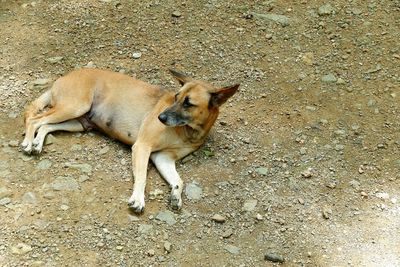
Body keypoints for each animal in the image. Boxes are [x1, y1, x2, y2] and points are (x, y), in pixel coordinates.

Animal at [21, 69, 239, 214]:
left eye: (188, 103)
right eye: (176, 97)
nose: (160, 117)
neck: (188, 131)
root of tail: (64, 76)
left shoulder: (163, 158)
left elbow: (179, 181)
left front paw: (175, 196)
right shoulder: (142, 147)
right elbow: (141, 177)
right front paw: (138, 199)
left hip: (78, 122)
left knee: (45, 126)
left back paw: (37, 143)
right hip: (74, 106)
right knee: (34, 119)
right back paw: (27, 143)